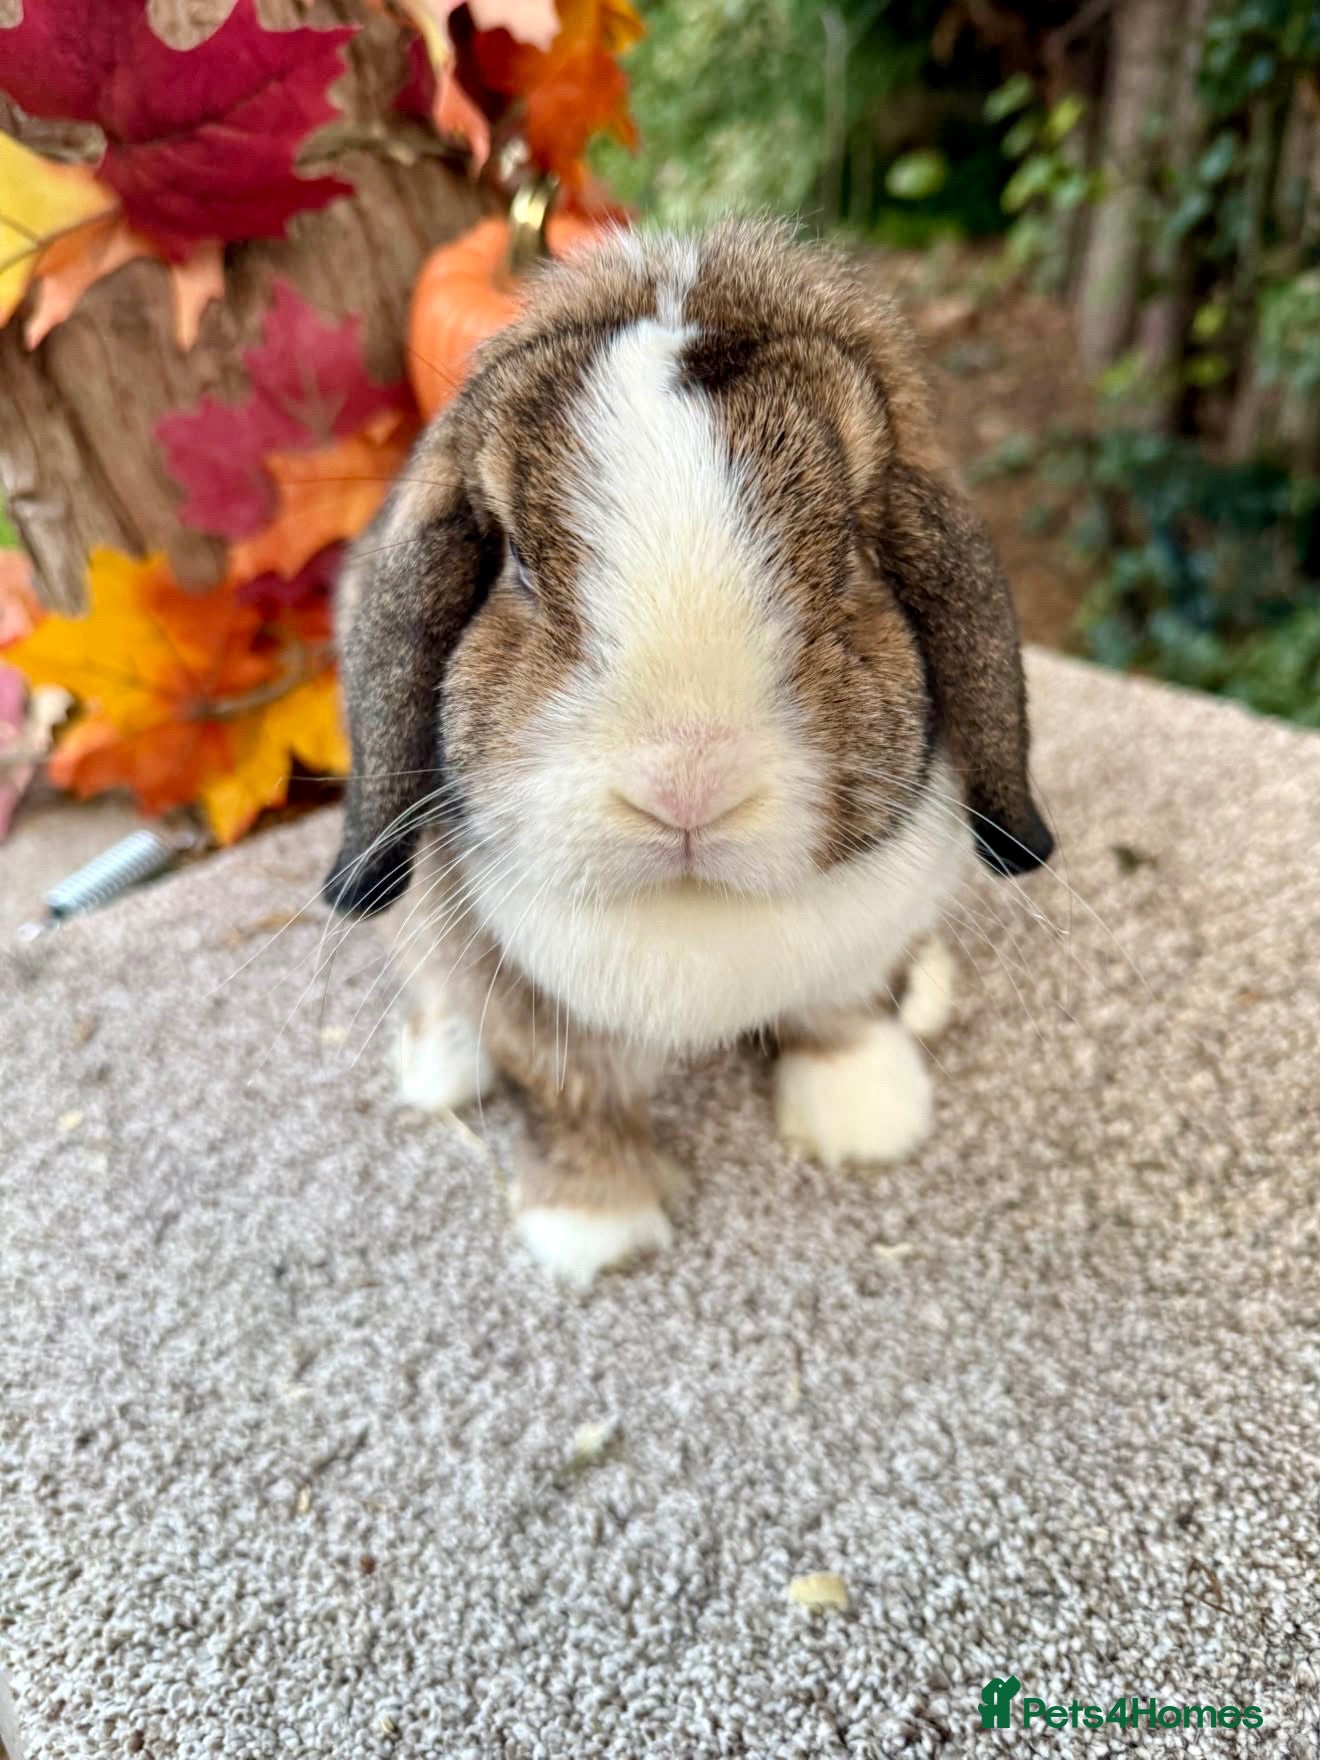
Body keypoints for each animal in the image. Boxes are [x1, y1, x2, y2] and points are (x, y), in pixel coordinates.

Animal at [325, 218, 1053, 1288]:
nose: (687, 784)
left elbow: (841, 1016)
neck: (699, 915)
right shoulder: (528, 1010)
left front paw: (866, 1118)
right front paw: (592, 1224)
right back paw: (440, 1069)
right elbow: (572, 1094)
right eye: (517, 566)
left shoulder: (854, 958)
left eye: (849, 550)